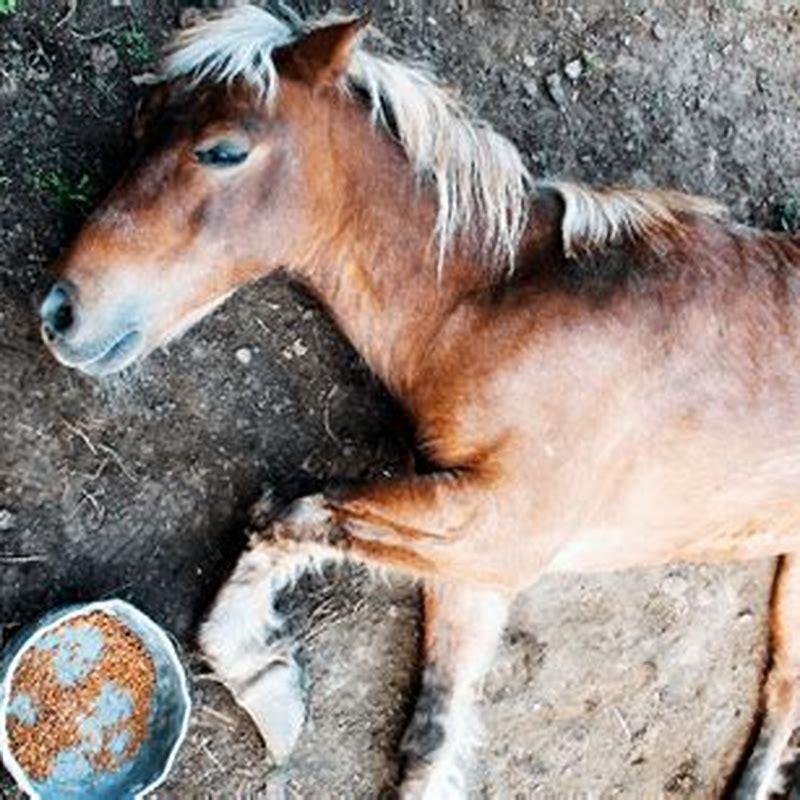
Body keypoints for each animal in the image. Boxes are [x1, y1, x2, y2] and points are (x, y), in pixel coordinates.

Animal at [37, 4, 800, 797]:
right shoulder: (471, 566)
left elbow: (294, 510)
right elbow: (431, 735)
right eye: (143, 122)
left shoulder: (502, 529)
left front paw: (262, 668)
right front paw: (263, 669)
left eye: (222, 150)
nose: (60, 311)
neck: (495, 302)